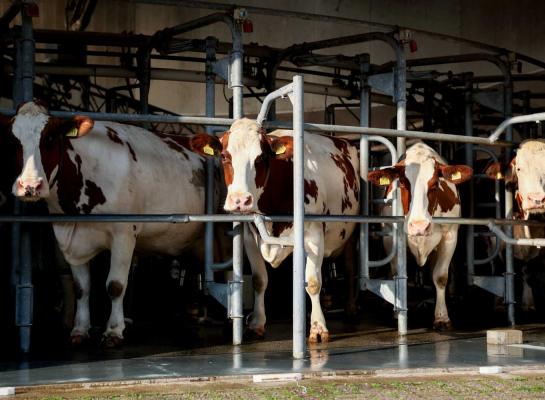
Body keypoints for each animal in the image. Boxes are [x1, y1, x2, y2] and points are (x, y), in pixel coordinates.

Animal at [1, 101, 210, 346]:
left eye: (50, 138)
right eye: (13, 140)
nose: (30, 186)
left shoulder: (124, 233)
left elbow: (115, 285)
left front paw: (113, 330)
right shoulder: (71, 236)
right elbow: (81, 287)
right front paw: (80, 329)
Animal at [189, 117, 360, 342]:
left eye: (261, 157)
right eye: (225, 156)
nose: (240, 201)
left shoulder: (314, 234)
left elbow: (313, 282)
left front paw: (318, 327)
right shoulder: (250, 237)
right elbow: (259, 280)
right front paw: (256, 323)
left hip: (352, 231)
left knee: (349, 267)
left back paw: (350, 309)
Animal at [370, 142, 472, 330]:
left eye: (434, 184)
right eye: (403, 184)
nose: (419, 226)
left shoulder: (450, 236)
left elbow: (440, 277)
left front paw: (442, 317)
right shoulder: (390, 236)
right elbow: (397, 274)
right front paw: (397, 313)